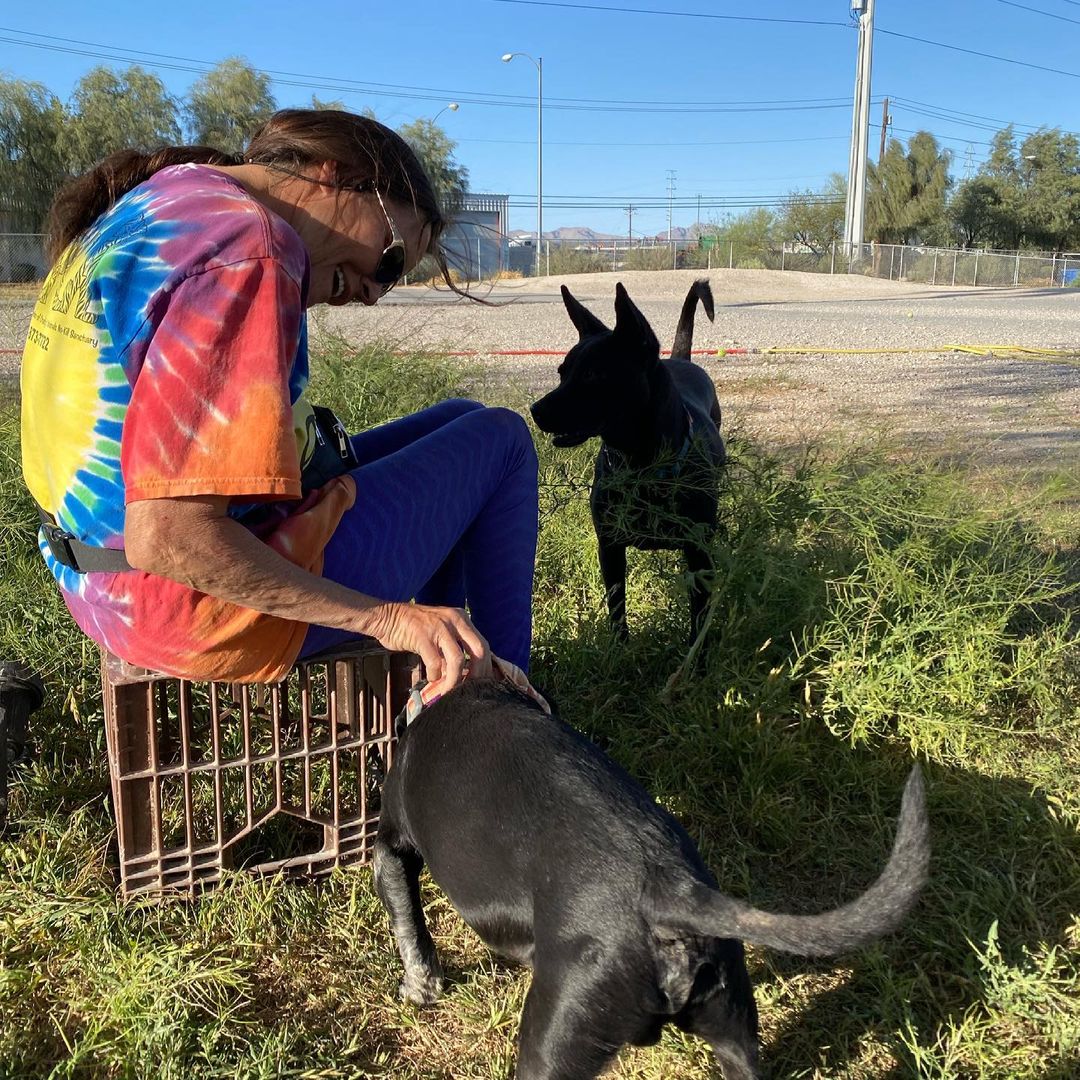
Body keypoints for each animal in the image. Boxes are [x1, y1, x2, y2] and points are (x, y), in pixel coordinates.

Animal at [373, 682, 928, 1080]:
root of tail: (672, 889)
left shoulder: (391, 850)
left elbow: (410, 928)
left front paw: (419, 990)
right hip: (734, 1028)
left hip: (554, 1040)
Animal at [531, 282, 725, 643]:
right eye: (562, 372)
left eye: (593, 374)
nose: (535, 410)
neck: (640, 467)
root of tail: (680, 360)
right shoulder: (609, 546)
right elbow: (616, 605)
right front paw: (619, 648)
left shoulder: (698, 553)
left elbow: (699, 613)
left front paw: (698, 656)